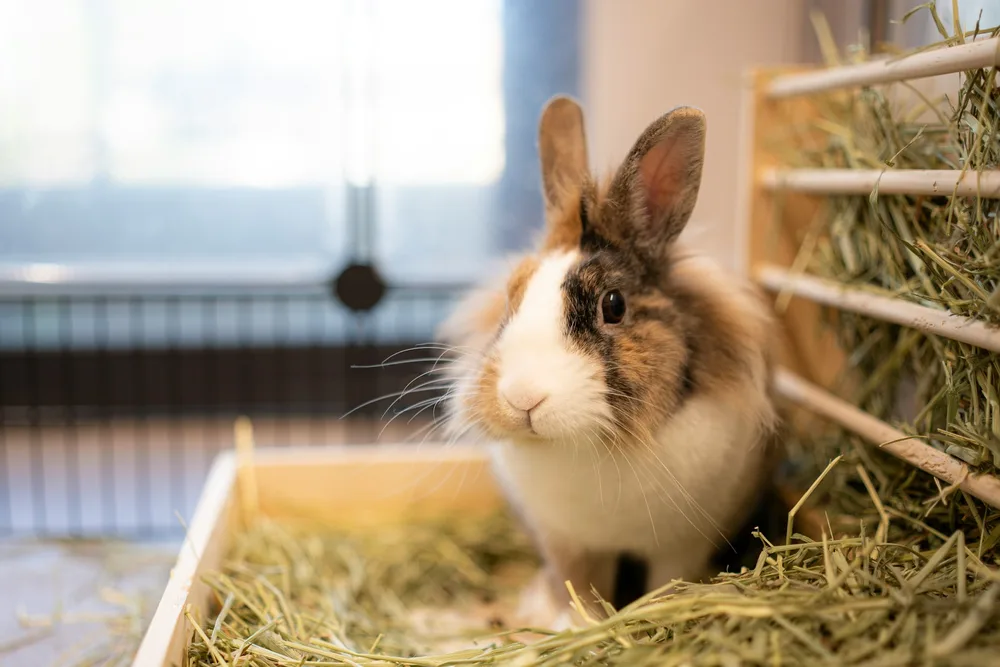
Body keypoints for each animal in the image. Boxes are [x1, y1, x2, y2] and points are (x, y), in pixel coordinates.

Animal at [436, 96, 780, 622]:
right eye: (512, 297)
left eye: (613, 305)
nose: (523, 397)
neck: (591, 446)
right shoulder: (567, 542)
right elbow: (578, 583)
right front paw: (573, 621)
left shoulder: (682, 545)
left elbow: (667, 582)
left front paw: (654, 613)